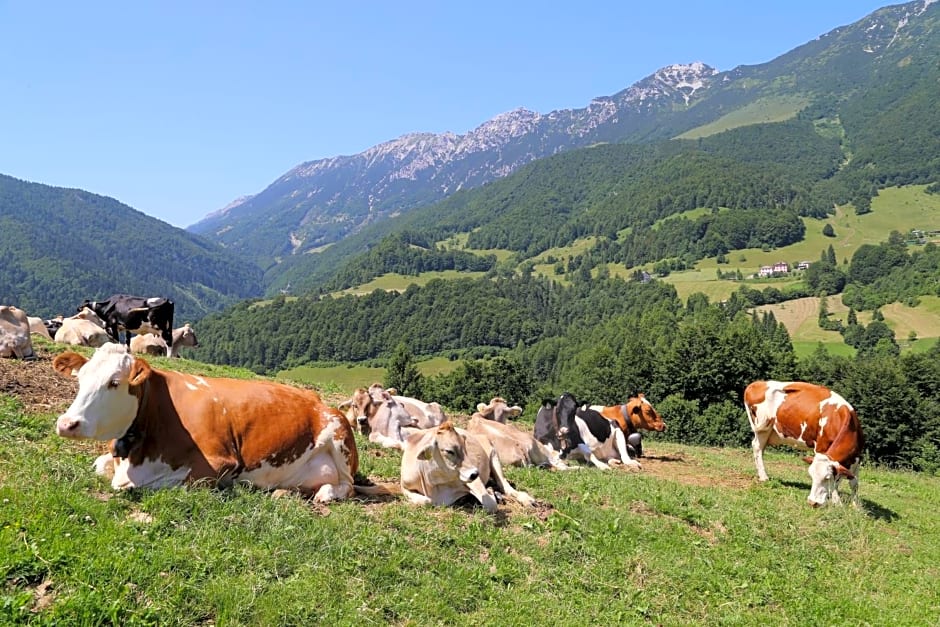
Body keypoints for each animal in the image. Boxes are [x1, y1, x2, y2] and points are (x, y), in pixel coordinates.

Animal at [52, 340, 360, 502]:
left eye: (114, 382)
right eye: (80, 378)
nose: (67, 424)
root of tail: (314, 397)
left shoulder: (218, 462)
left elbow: (143, 484)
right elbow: (100, 465)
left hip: (339, 435)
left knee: (347, 485)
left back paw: (325, 493)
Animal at [744, 380, 864, 508]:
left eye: (827, 478)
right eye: (811, 476)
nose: (812, 502)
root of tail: (757, 383)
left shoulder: (856, 458)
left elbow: (853, 483)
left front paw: (856, 506)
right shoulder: (821, 448)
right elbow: (837, 483)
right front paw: (837, 502)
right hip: (763, 428)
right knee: (757, 447)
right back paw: (764, 477)